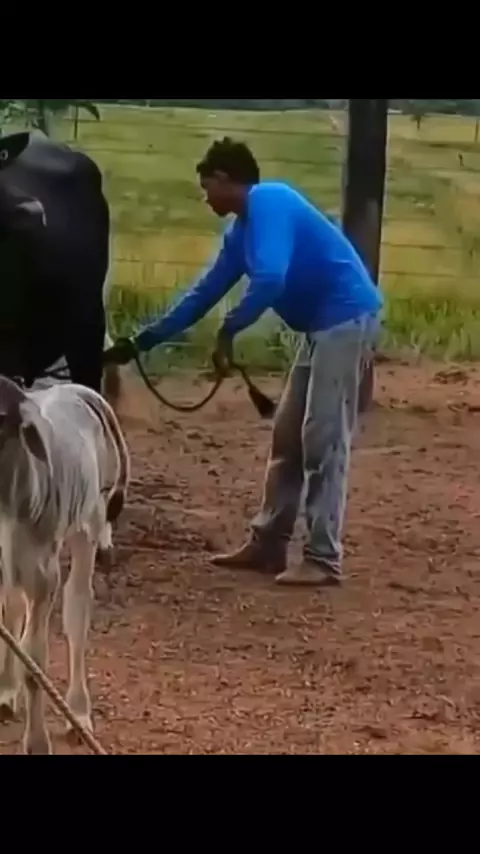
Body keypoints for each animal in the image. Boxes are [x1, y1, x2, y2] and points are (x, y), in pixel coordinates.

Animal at [0, 375, 130, 755]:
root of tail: (73, 389)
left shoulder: (44, 578)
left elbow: (36, 665)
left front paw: (37, 742)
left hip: (89, 526)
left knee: (77, 614)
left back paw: (79, 712)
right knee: (14, 609)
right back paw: (6, 692)